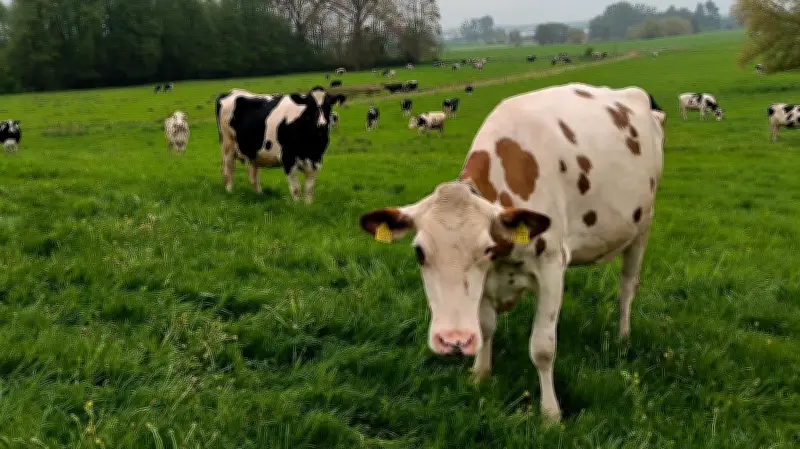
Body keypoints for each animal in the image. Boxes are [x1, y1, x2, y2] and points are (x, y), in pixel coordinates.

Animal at [215, 86, 344, 203]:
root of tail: (232, 92)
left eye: (329, 106)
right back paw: (230, 192)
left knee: (253, 176)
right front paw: (297, 206)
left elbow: (309, 188)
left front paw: (308, 206)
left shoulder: (316, 160)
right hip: (228, 145)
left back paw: (259, 194)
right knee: (228, 169)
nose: (322, 124)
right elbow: (296, 188)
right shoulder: (288, 159)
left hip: (254, 152)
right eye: (310, 106)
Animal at [357, 82, 666, 423]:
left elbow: (542, 348)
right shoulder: (489, 278)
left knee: (627, 286)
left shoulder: (550, 267)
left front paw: (550, 413)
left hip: (643, 226)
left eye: (485, 249)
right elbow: (486, 327)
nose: (452, 340)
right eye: (419, 253)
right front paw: (479, 375)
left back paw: (623, 336)